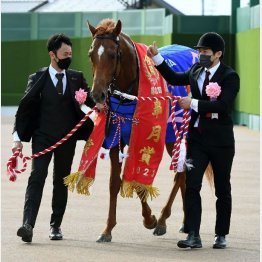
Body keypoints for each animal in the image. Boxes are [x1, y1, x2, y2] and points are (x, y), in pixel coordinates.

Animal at [88, 19, 190, 243]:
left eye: (112, 54)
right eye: (91, 54)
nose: (97, 94)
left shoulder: (145, 134)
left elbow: (136, 179)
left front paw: (150, 219)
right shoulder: (117, 135)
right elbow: (114, 183)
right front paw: (107, 229)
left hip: (175, 135)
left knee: (180, 174)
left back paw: (163, 220)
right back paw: (186, 222)